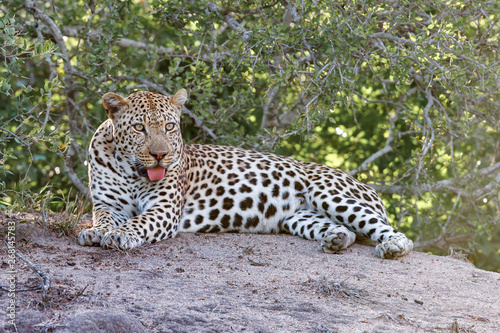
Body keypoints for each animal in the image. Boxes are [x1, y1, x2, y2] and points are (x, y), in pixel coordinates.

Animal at [79, 89, 414, 258]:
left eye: (170, 126)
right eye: (139, 128)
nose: (161, 154)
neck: (130, 171)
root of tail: (367, 187)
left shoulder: (164, 209)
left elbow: (139, 222)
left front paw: (120, 235)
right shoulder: (107, 203)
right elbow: (103, 217)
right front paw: (97, 232)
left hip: (329, 193)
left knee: (388, 231)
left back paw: (393, 246)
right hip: (298, 217)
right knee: (347, 232)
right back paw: (335, 239)